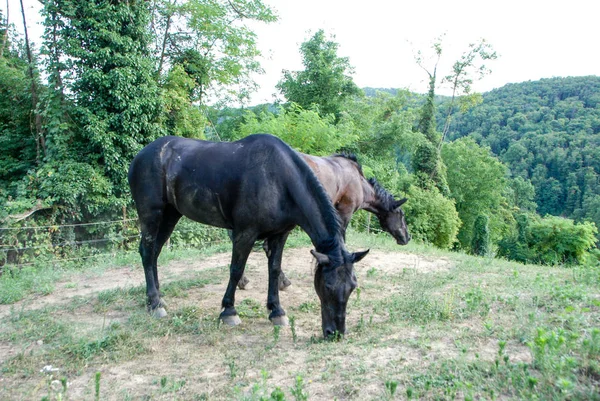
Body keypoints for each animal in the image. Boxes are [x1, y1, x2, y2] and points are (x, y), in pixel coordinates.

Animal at [129, 133, 368, 336]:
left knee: (155, 252)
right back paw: (155, 304)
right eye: (327, 286)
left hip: (170, 214)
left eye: (352, 287)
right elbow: (236, 270)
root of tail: (141, 155)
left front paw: (276, 311)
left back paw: (158, 298)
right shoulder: (245, 233)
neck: (278, 179)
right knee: (147, 252)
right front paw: (229, 311)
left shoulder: (280, 235)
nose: (334, 333)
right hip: (152, 214)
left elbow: (274, 270)